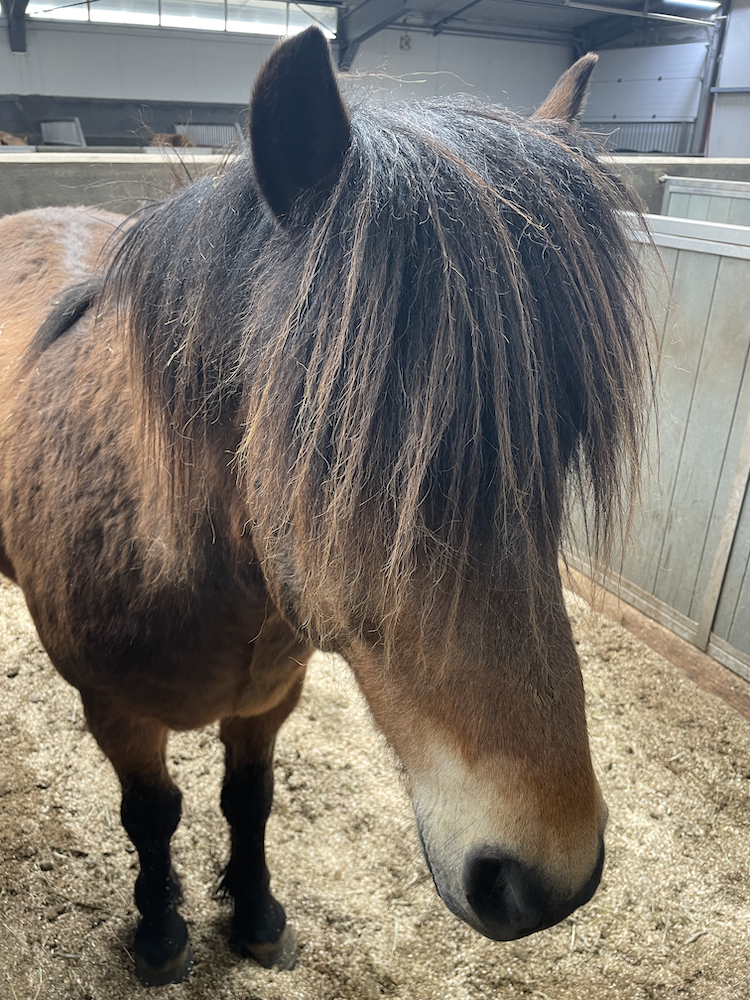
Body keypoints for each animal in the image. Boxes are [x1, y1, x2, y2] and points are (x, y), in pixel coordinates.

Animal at [0, 28, 651, 987]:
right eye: (340, 449)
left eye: (559, 443)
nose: (549, 877)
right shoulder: (117, 715)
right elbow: (153, 816)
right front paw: (160, 933)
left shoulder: (271, 698)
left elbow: (249, 799)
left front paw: (256, 913)